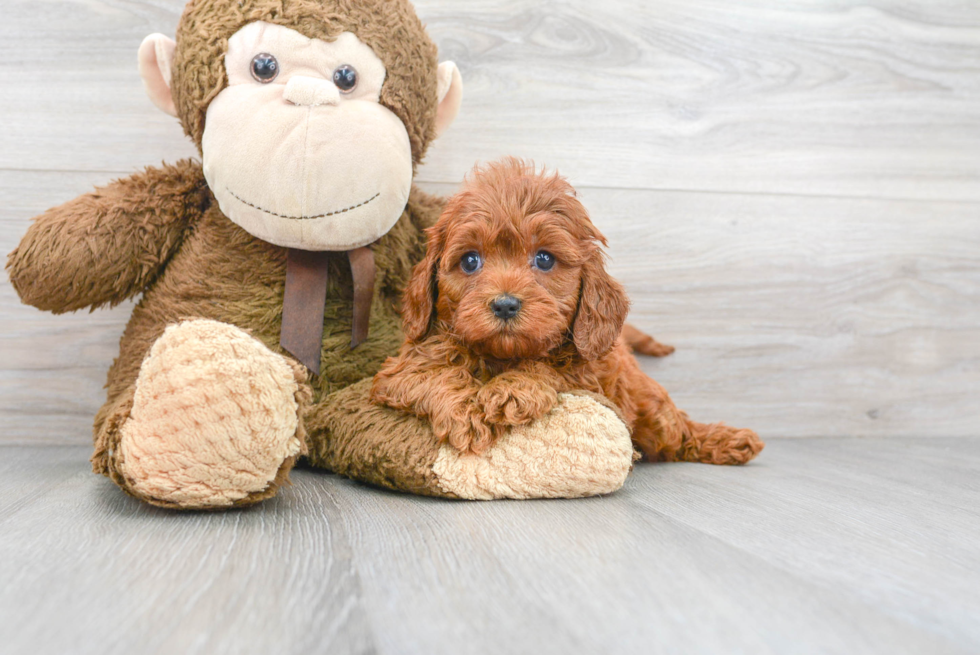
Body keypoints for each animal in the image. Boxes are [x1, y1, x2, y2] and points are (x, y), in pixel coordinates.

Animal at [372, 159, 760, 466]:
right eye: (470, 261)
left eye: (544, 259)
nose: (505, 304)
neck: (500, 357)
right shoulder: (401, 368)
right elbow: (432, 376)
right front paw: (466, 413)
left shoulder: (589, 373)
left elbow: (553, 367)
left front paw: (511, 389)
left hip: (652, 410)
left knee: (680, 432)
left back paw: (729, 441)